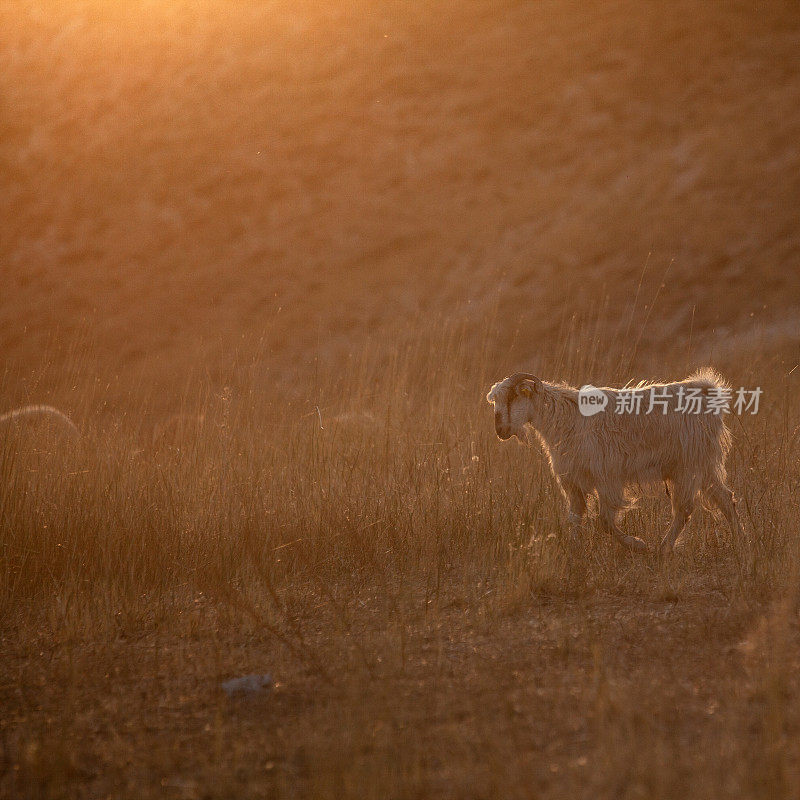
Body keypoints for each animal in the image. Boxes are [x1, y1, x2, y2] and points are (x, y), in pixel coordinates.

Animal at [488, 370, 744, 552]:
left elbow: (604, 522)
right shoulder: (573, 480)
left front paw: (637, 545)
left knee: (684, 509)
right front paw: (573, 550)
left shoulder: (607, 478)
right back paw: (741, 540)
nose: (500, 430)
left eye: (513, 396)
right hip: (704, 466)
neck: (566, 419)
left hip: (688, 466)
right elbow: (575, 517)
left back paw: (663, 548)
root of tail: (707, 390)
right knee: (725, 498)